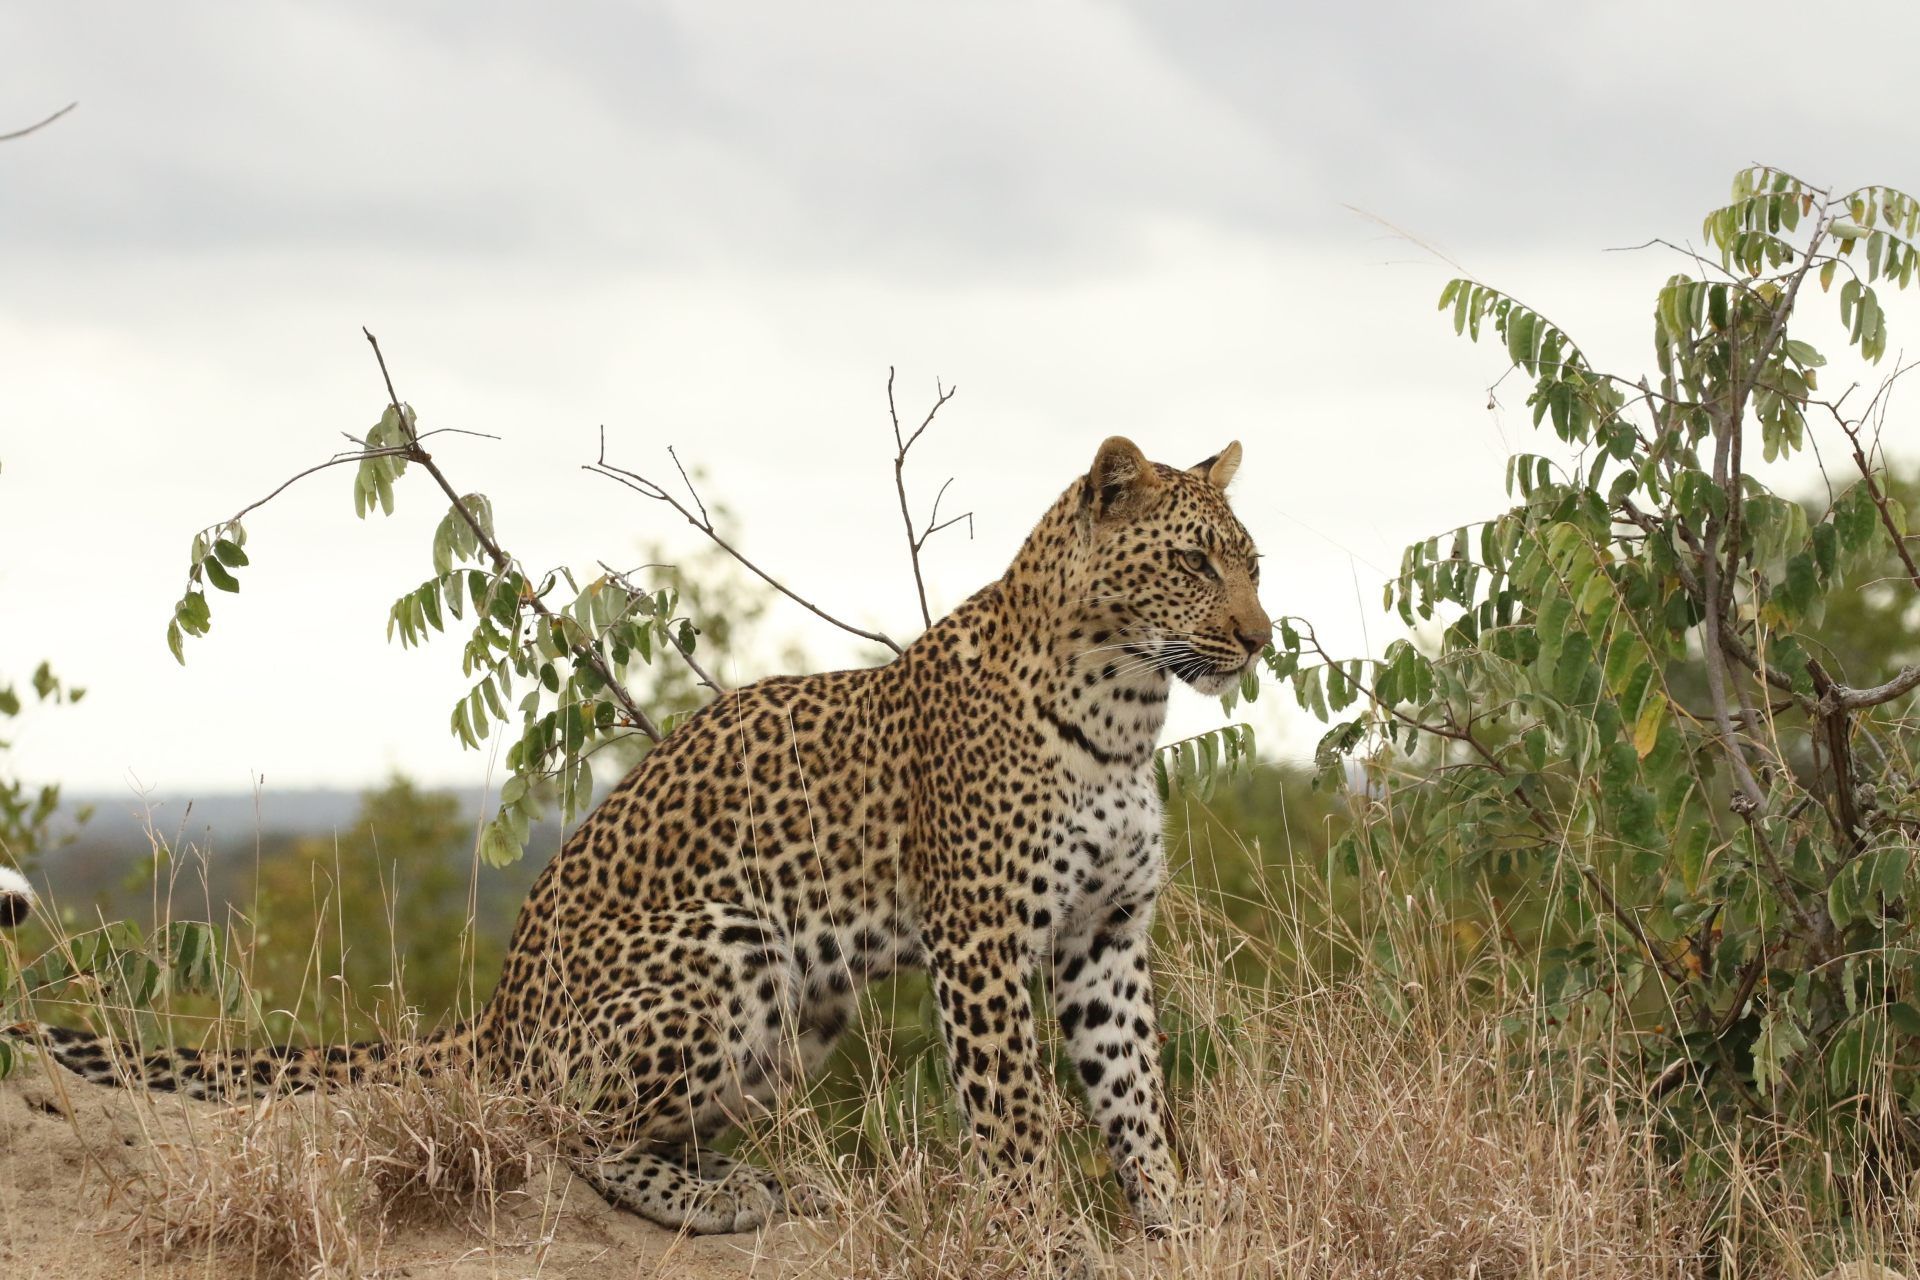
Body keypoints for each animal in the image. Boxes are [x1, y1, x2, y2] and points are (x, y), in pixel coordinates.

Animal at [3, 435, 1270, 1236]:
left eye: (1252, 561)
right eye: (1194, 559)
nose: (1260, 637)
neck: (1125, 711)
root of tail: (497, 1018)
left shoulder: (1107, 935)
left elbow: (1132, 1086)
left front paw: (1173, 1214)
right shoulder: (985, 939)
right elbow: (1013, 1109)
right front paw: (1033, 1227)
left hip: (800, 1006)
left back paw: (770, 1183)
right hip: (729, 940)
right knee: (563, 1132)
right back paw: (716, 1199)